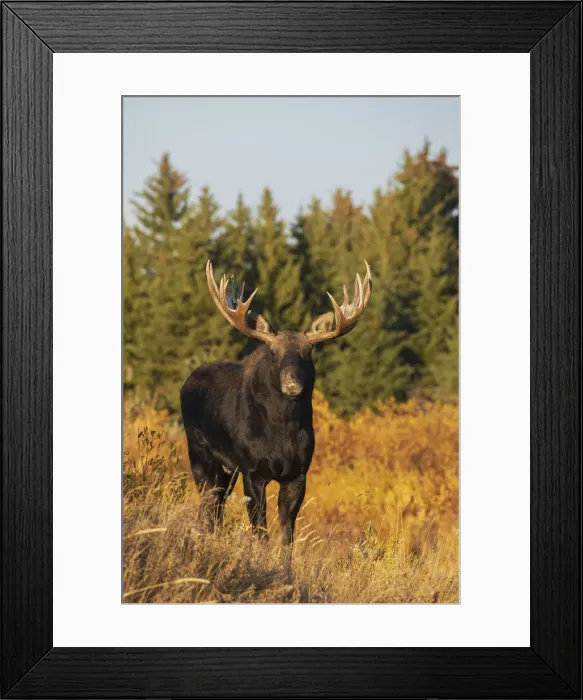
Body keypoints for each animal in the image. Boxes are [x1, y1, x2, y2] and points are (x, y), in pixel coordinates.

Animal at [180, 260, 372, 549]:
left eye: (308, 353)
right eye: (273, 353)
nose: (292, 384)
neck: (282, 434)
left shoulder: (298, 473)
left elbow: (287, 536)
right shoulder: (252, 470)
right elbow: (261, 533)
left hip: (226, 468)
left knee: (217, 507)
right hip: (199, 452)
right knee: (207, 505)